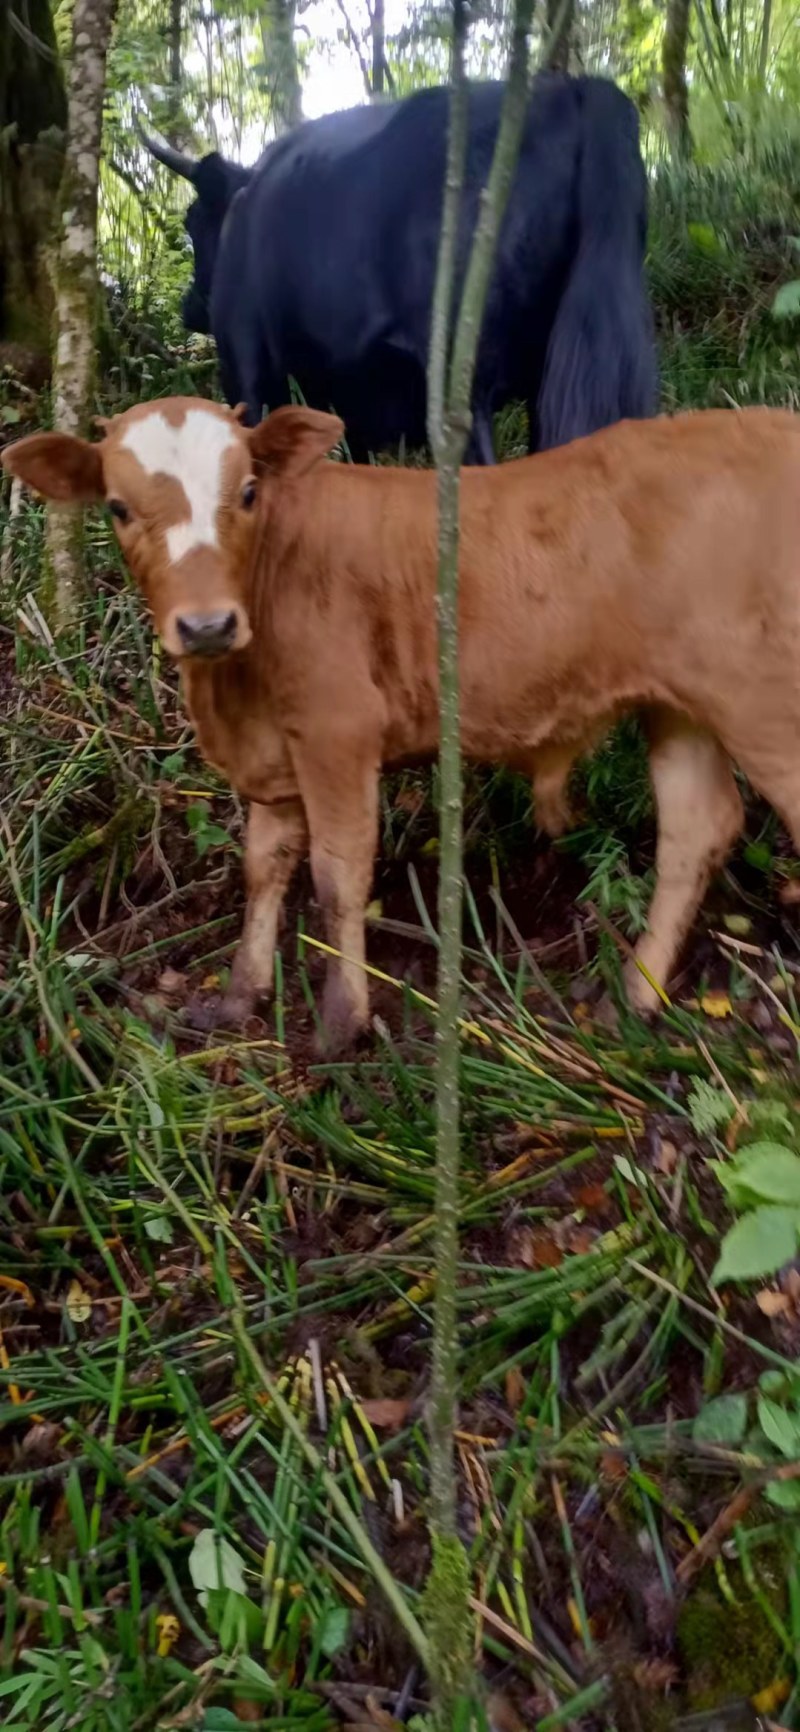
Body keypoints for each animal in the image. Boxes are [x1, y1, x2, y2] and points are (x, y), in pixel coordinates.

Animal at [3, 398, 796, 1046]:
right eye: (116, 507)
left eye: (249, 491)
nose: (206, 626)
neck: (235, 687)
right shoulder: (279, 750)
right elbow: (264, 866)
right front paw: (238, 998)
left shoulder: (338, 730)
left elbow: (338, 873)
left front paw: (341, 1024)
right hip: (684, 705)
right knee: (697, 828)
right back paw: (634, 996)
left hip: (761, 704)